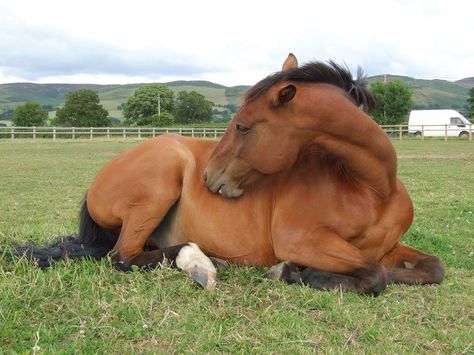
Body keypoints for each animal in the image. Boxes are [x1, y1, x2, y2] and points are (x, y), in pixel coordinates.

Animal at [15, 53, 444, 298]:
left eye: (242, 126)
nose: (208, 178)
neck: (369, 189)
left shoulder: (388, 248)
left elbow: (431, 268)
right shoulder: (301, 240)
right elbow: (374, 275)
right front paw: (295, 272)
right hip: (158, 187)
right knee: (122, 257)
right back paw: (200, 263)